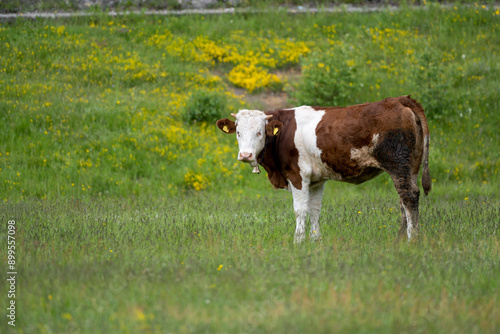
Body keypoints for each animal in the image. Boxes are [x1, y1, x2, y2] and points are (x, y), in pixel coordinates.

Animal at [216, 95, 430, 241]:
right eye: (238, 132)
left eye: (260, 132)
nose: (245, 155)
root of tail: (399, 100)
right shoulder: (317, 180)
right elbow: (315, 208)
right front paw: (315, 240)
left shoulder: (297, 175)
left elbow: (300, 209)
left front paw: (298, 241)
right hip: (411, 166)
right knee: (404, 200)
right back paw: (400, 239)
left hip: (398, 164)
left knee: (409, 197)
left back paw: (412, 239)